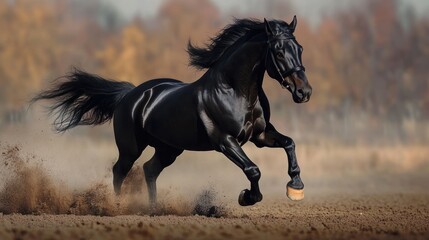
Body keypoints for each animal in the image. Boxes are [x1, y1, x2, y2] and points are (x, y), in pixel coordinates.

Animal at [33, 16, 310, 206]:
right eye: (278, 51)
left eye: (300, 48)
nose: (304, 92)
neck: (236, 91)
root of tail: (129, 95)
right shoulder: (225, 141)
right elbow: (253, 169)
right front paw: (247, 197)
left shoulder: (260, 136)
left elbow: (290, 143)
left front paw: (295, 187)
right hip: (131, 147)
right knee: (120, 171)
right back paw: (118, 207)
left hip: (169, 149)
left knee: (149, 169)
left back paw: (153, 209)